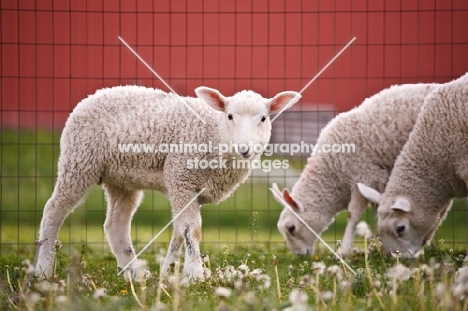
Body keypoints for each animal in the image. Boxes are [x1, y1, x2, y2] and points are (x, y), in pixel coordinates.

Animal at [35, 85, 300, 280]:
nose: (245, 149)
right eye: (230, 116)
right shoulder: (182, 177)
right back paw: (43, 269)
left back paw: (135, 273)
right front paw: (195, 274)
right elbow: (192, 229)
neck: (214, 133)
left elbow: (180, 232)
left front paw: (169, 273)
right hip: (79, 161)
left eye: (263, 118)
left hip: (121, 179)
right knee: (53, 210)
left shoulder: (188, 187)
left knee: (116, 224)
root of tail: (91, 96)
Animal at [270, 81, 442, 258]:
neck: (333, 174)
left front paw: (344, 251)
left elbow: (352, 215)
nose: (299, 256)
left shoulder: (365, 175)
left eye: (291, 228)